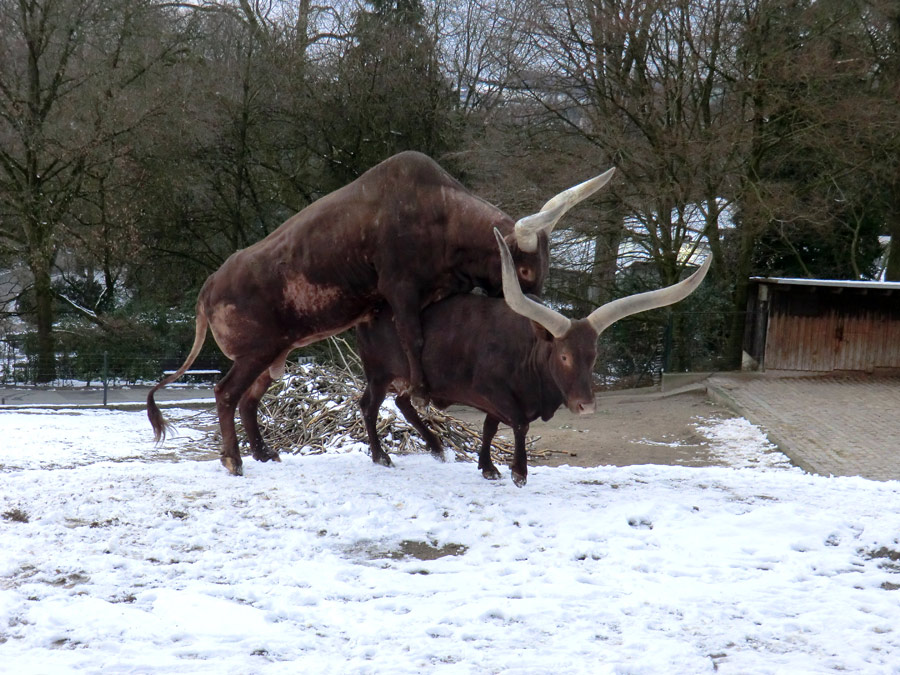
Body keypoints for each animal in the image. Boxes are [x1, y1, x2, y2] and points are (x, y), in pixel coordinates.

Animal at [148, 152, 616, 476]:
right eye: (523, 270)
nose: (538, 326)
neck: (439, 214)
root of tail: (211, 284)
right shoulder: (400, 289)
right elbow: (413, 338)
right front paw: (423, 389)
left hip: (273, 355)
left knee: (249, 399)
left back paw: (263, 452)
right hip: (254, 353)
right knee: (226, 393)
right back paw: (233, 459)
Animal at [354, 231, 712, 486]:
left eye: (593, 356)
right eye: (564, 356)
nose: (586, 406)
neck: (528, 352)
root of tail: (373, 309)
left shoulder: (499, 402)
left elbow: (489, 427)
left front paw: (488, 467)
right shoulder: (493, 392)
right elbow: (518, 424)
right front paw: (519, 472)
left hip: (404, 377)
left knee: (403, 402)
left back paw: (437, 447)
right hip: (379, 373)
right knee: (369, 405)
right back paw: (380, 455)